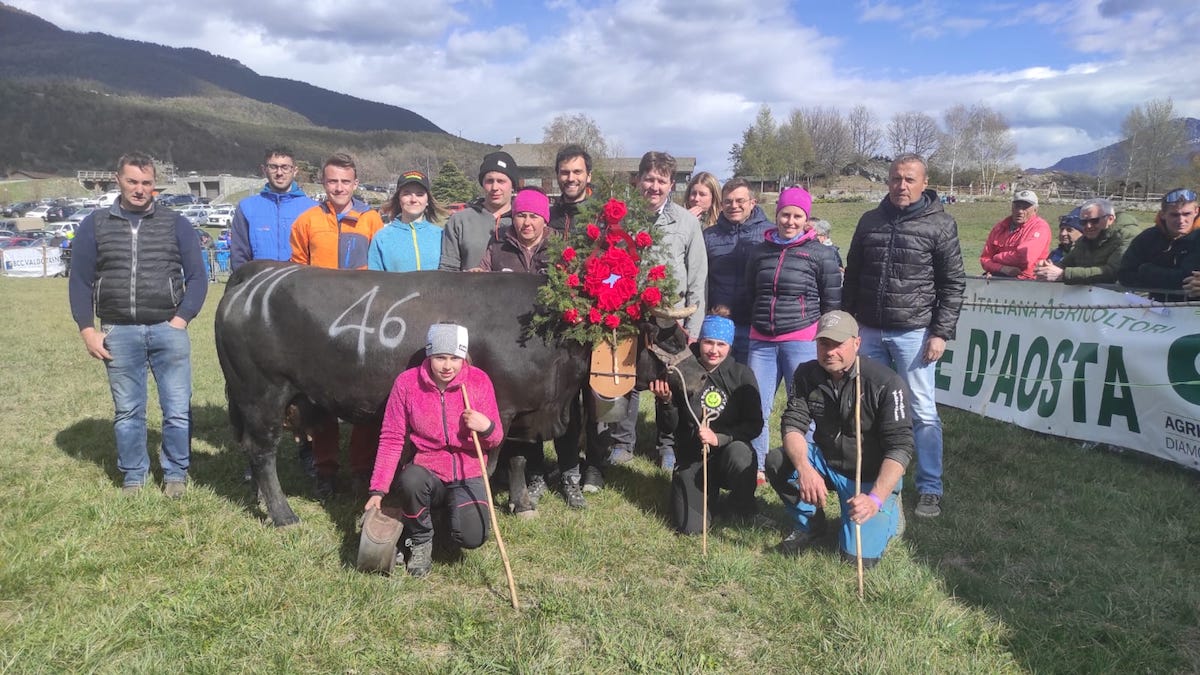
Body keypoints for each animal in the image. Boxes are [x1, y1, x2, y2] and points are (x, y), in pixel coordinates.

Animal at [214, 258, 705, 526]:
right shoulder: (501, 408)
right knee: (262, 452)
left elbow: (519, 459)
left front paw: (522, 504)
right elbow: (490, 464)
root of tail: (257, 274)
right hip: (262, 393)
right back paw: (282, 514)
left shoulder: (522, 412)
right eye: (669, 336)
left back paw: (261, 502)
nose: (701, 377)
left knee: (253, 452)